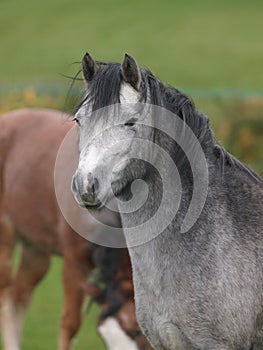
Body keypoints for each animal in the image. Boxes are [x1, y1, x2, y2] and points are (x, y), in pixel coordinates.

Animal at [0, 109, 153, 350]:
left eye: (138, 333)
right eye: (104, 337)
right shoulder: (73, 263)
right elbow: (69, 323)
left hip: (35, 250)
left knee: (18, 296)